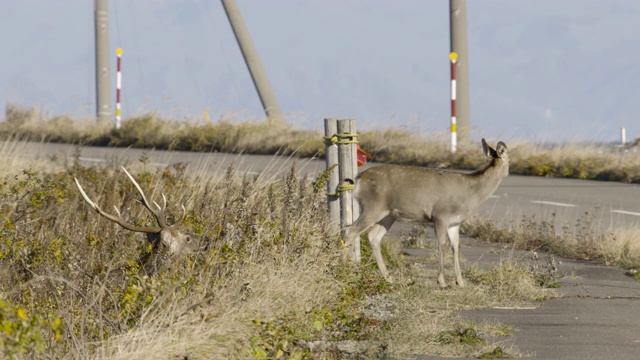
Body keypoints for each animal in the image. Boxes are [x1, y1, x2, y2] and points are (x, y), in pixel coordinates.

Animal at [344, 138, 510, 286]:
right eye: (509, 157)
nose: (508, 172)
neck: (472, 193)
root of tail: (358, 179)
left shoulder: (455, 222)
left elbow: (455, 246)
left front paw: (460, 282)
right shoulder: (440, 215)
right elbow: (441, 244)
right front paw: (442, 281)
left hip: (388, 214)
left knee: (373, 236)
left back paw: (388, 277)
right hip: (373, 206)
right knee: (350, 231)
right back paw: (347, 268)